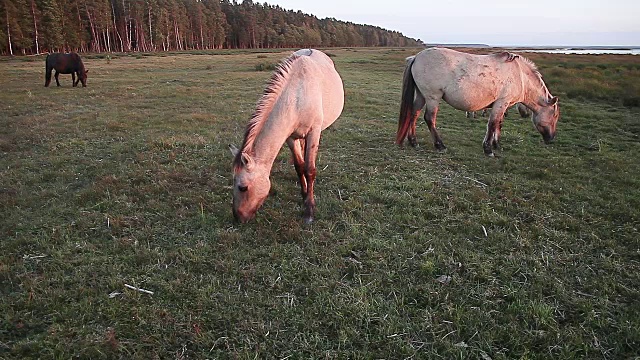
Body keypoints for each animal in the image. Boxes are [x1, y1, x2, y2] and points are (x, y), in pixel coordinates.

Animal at [231, 47, 344, 222]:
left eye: (242, 187)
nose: (238, 217)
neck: (297, 96)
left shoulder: (314, 132)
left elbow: (310, 169)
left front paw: (309, 210)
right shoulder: (290, 137)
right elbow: (299, 166)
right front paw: (304, 195)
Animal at [398, 47, 556, 155]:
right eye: (554, 116)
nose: (551, 139)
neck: (520, 76)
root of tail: (416, 57)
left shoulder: (502, 106)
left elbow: (498, 124)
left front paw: (496, 145)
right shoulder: (501, 103)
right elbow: (492, 124)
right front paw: (488, 149)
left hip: (421, 96)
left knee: (413, 114)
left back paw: (413, 142)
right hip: (432, 97)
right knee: (429, 118)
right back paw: (440, 145)